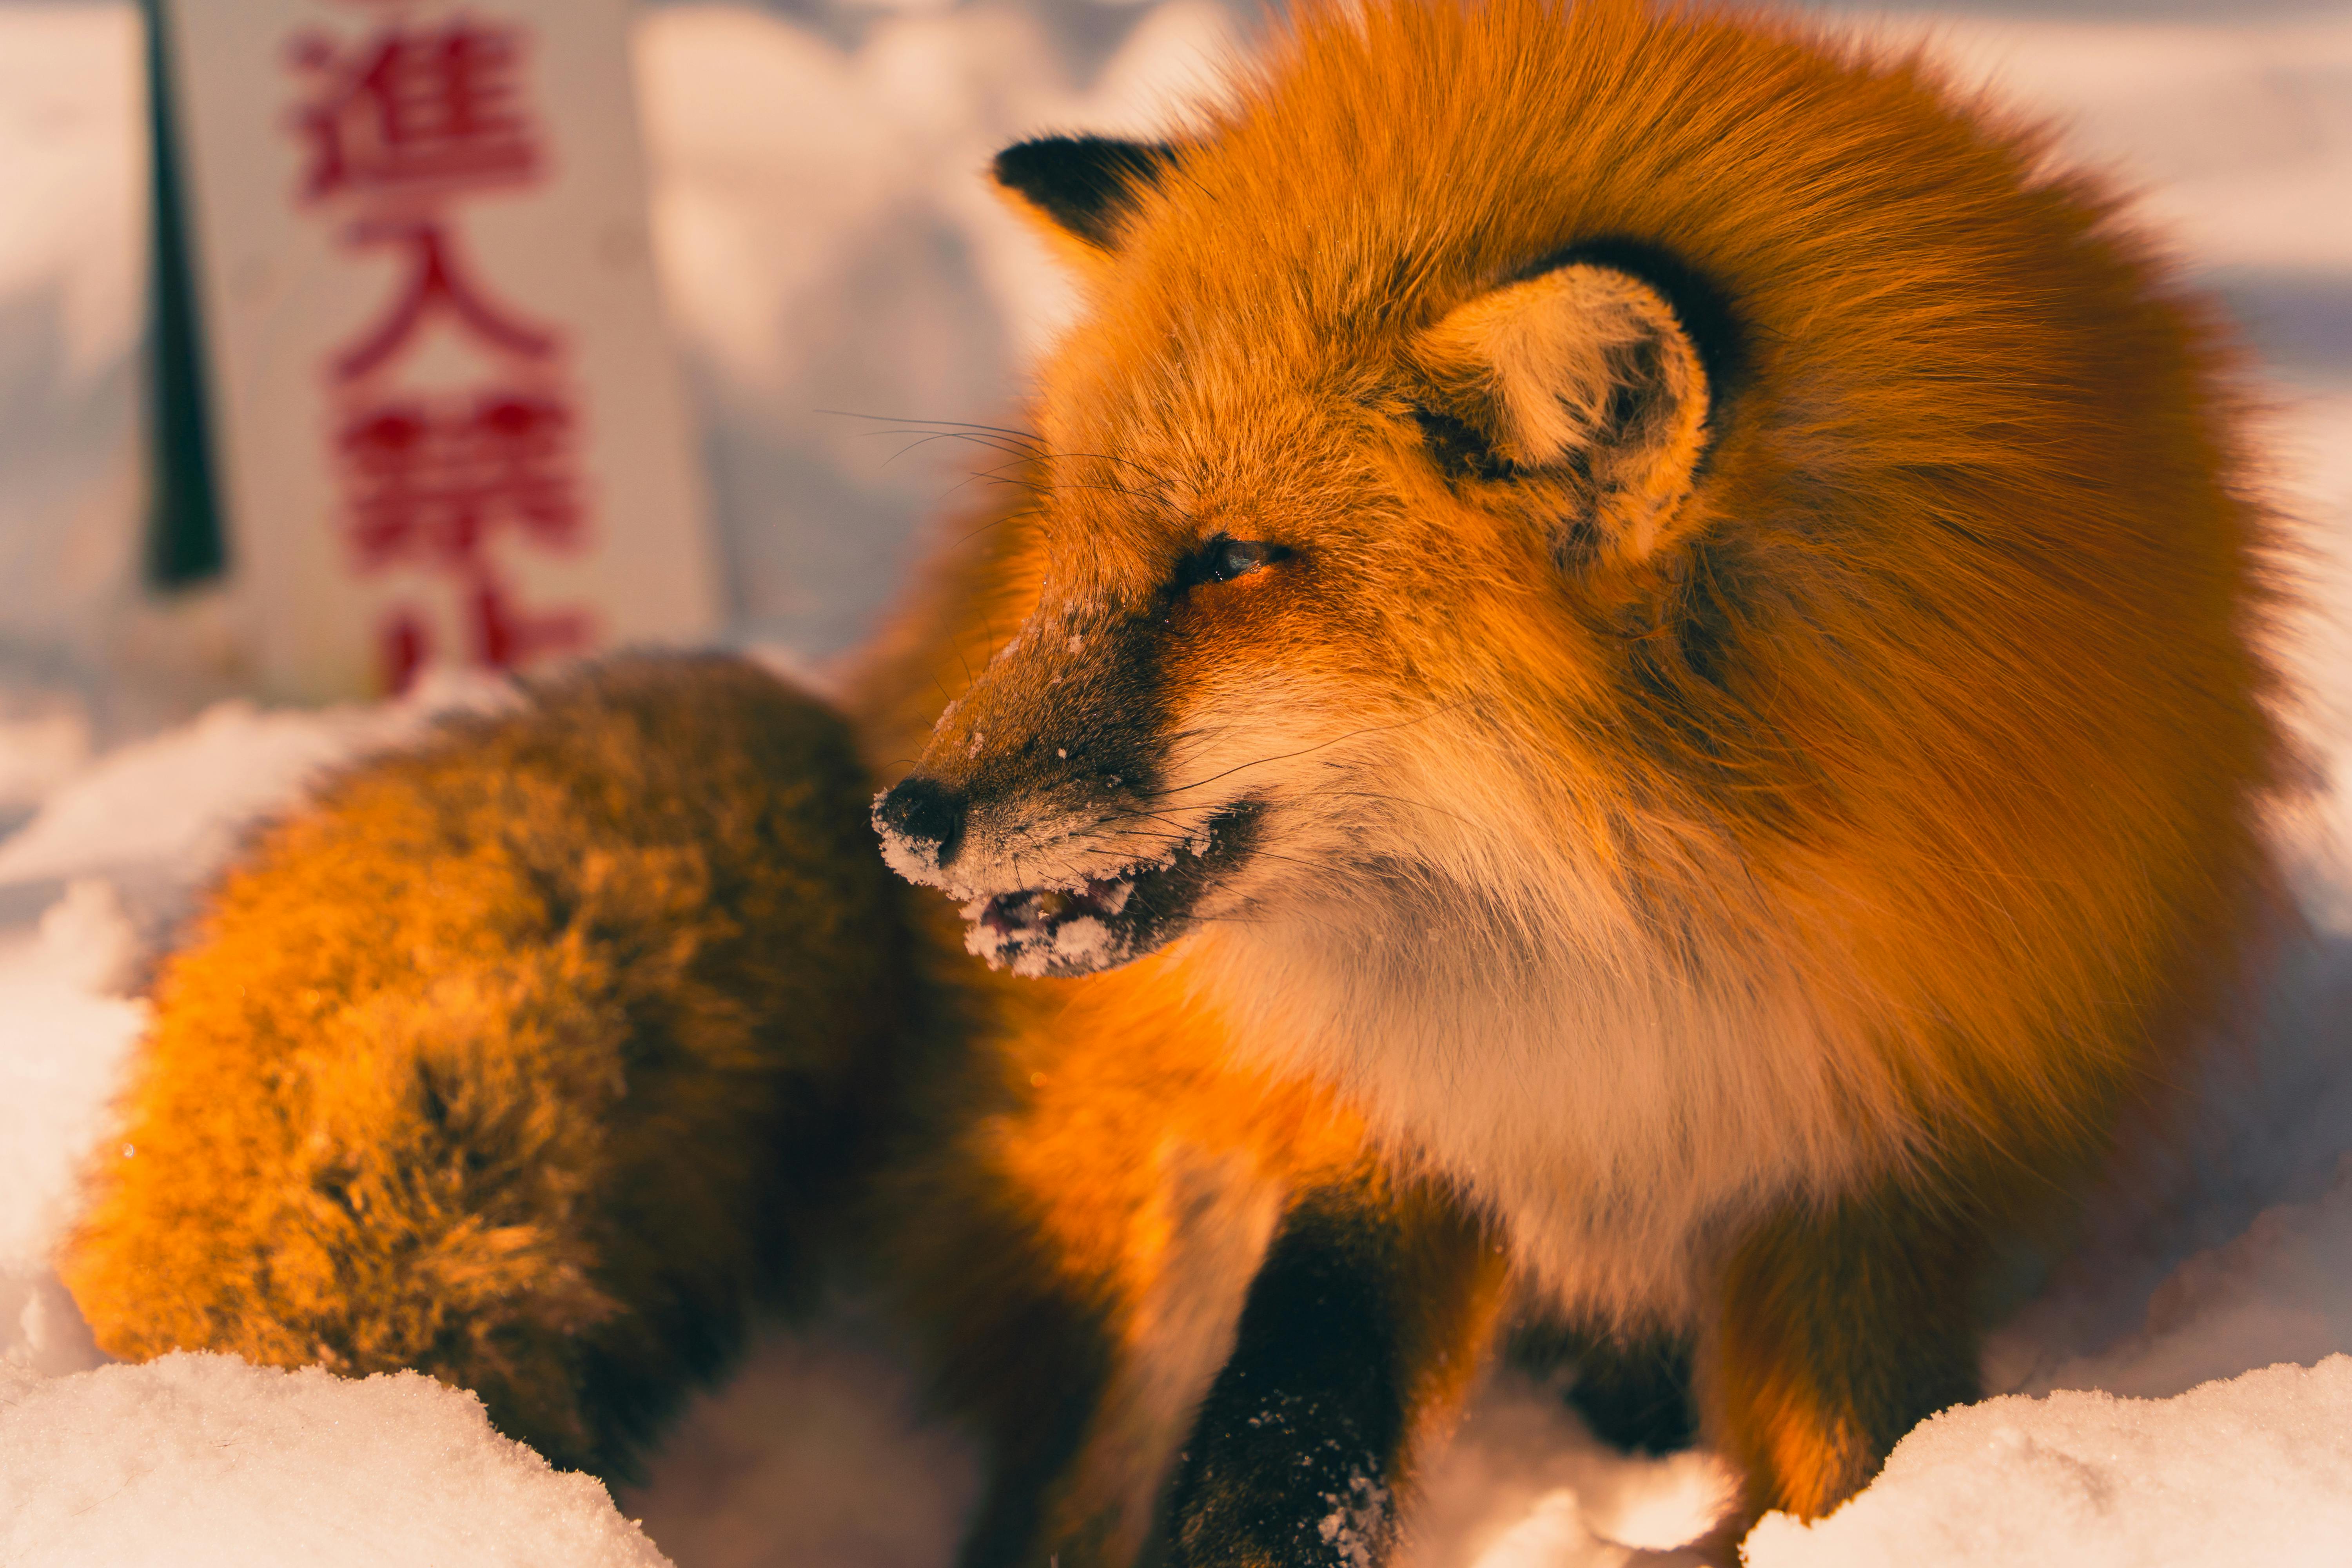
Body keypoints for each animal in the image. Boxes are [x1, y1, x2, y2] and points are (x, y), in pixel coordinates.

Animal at [62, 0, 2287, 1561]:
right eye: (1088, 544)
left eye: (1229, 565)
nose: (910, 820)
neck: (1624, 958)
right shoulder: (1372, 1125)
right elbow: (1282, 1433)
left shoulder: (1867, 1155)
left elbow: (1852, 1458)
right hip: (1132, 1186)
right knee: (1060, 1483)